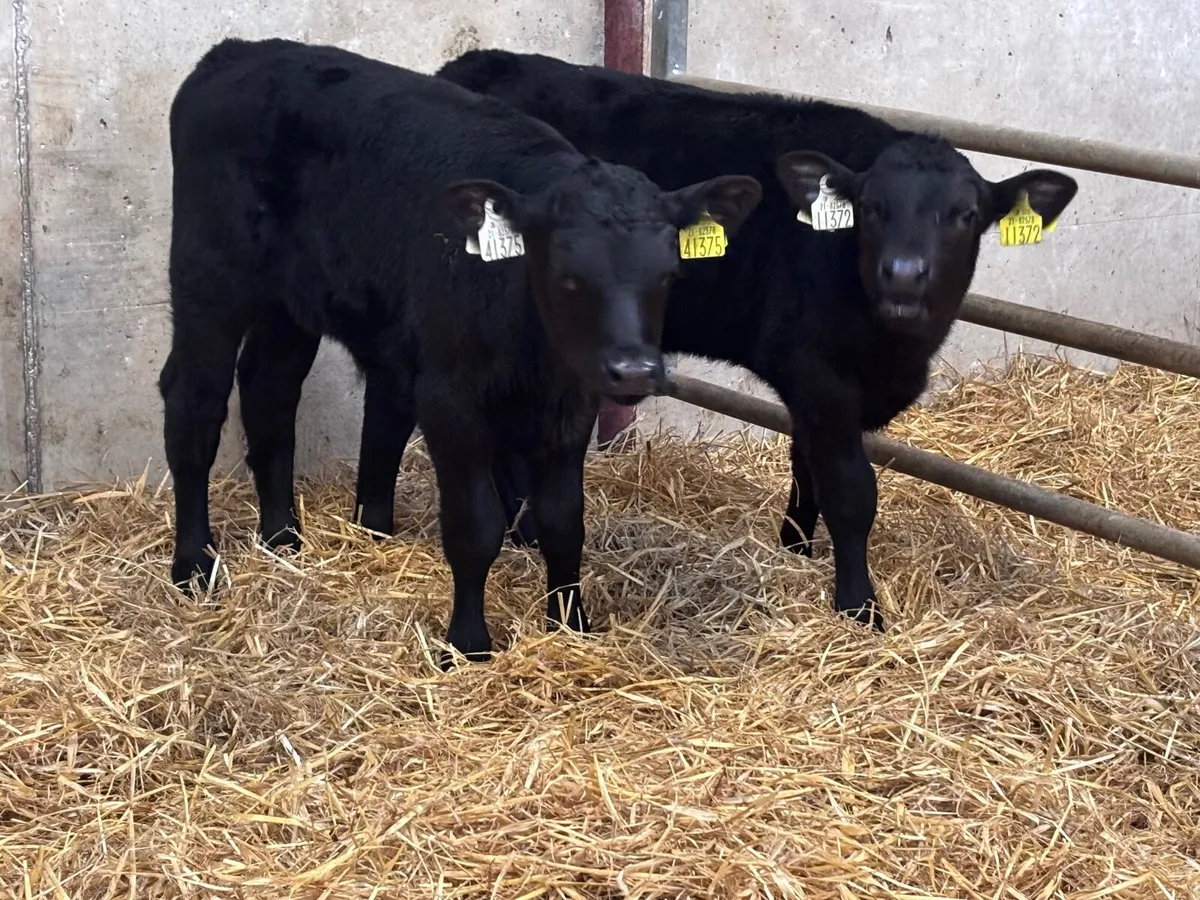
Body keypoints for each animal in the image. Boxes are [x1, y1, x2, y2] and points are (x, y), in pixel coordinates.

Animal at [160, 38, 762, 666]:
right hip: (209, 275)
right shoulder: (451, 399)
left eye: (669, 275)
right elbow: (475, 527)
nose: (634, 371)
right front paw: (468, 644)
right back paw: (194, 563)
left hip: (290, 302)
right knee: (193, 402)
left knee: (268, 391)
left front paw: (570, 625)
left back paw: (282, 539)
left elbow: (564, 520)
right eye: (568, 277)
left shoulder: (571, 404)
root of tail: (240, 51)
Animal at [423, 49, 1079, 632]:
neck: (894, 351)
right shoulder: (817, 373)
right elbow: (850, 489)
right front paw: (858, 605)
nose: (903, 272)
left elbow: (806, 465)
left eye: (964, 214)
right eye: (871, 207)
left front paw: (796, 546)